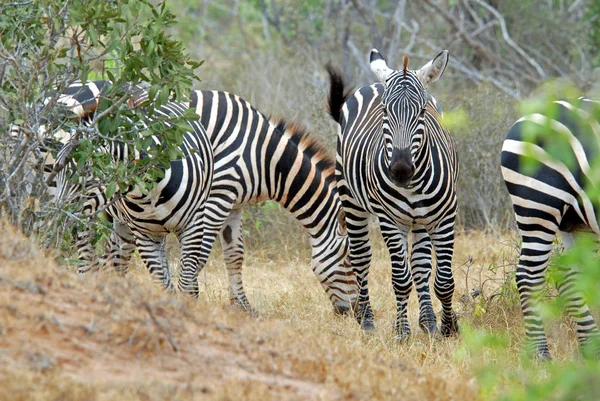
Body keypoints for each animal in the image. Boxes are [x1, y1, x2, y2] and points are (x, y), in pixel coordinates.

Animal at [41, 80, 213, 294]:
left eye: (86, 176)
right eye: (57, 170)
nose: (60, 218)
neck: (150, 193)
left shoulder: (193, 225)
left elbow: (186, 285)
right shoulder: (144, 235)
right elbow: (162, 283)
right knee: (95, 262)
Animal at [326, 48, 458, 340]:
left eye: (422, 111)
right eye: (385, 111)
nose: (400, 170)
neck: (414, 183)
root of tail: (376, 82)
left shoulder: (445, 217)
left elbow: (443, 280)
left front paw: (448, 327)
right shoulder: (390, 220)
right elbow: (400, 279)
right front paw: (402, 332)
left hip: (419, 220)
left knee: (420, 266)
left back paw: (428, 321)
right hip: (352, 202)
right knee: (361, 257)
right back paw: (366, 319)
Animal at [502, 97, 600, 360]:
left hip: (579, 222)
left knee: (569, 275)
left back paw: (592, 349)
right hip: (539, 205)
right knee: (528, 276)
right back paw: (541, 354)